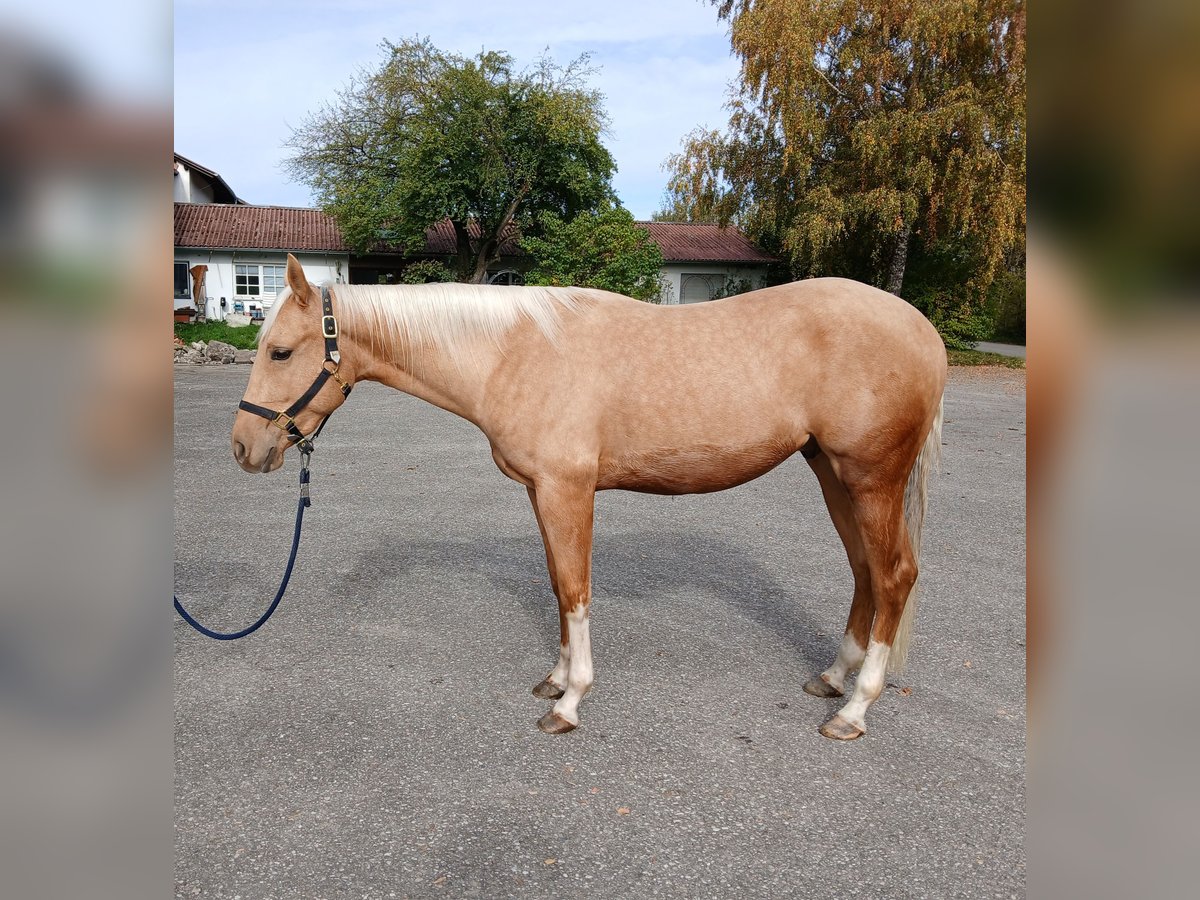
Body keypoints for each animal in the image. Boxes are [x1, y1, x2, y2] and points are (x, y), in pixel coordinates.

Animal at [232, 254, 946, 740]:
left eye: (281, 351)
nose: (243, 448)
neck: (513, 354)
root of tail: (924, 331)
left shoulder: (567, 490)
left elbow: (575, 589)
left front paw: (570, 701)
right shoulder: (543, 493)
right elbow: (556, 582)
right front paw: (554, 678)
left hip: (871, 477)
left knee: (894, 575)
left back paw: (855, 709)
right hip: (832, 471)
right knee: (864, 571)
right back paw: (832, 679)